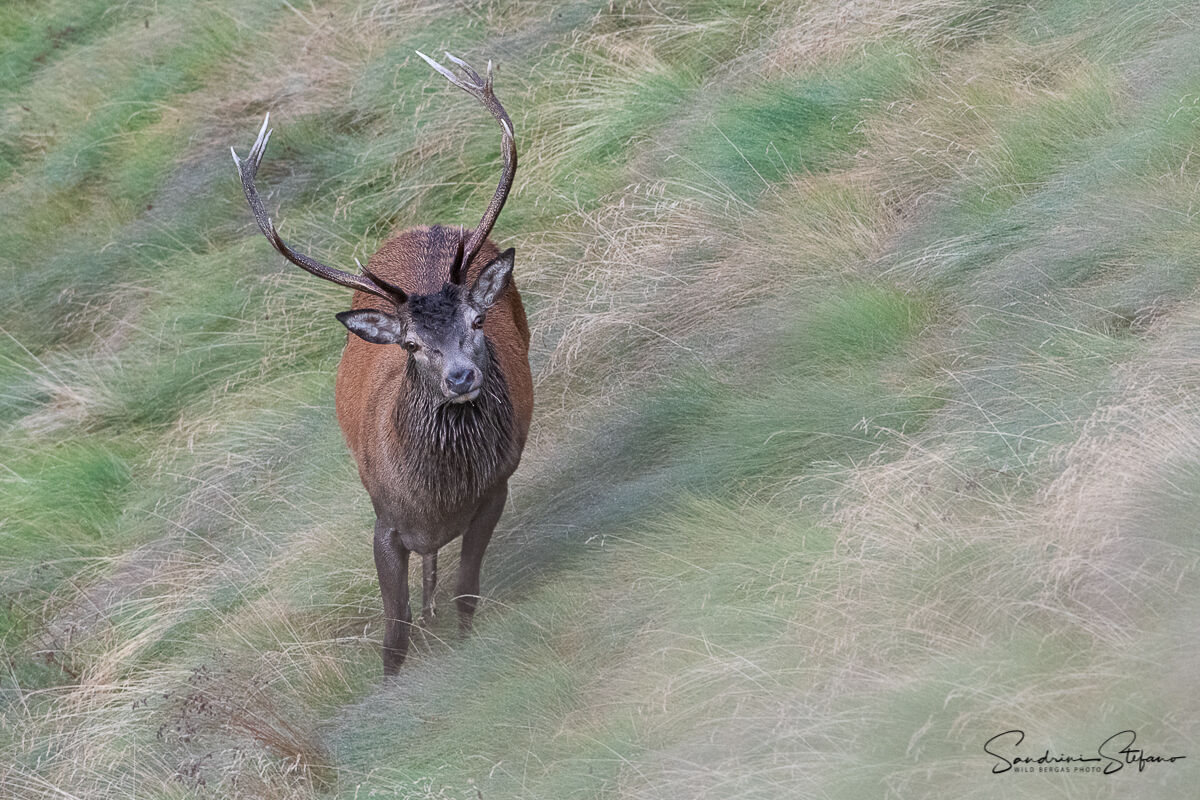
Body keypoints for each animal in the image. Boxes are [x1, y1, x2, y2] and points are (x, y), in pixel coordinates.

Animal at [231, 52, 532, 675]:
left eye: (477, 321)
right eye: (410, 344)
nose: (461, 378)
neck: (437, 497)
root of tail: (424, 224)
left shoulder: (495, 492)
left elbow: (468, 591)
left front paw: (463, 647)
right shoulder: (384, 522)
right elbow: (394, 630)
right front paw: (393, 680)